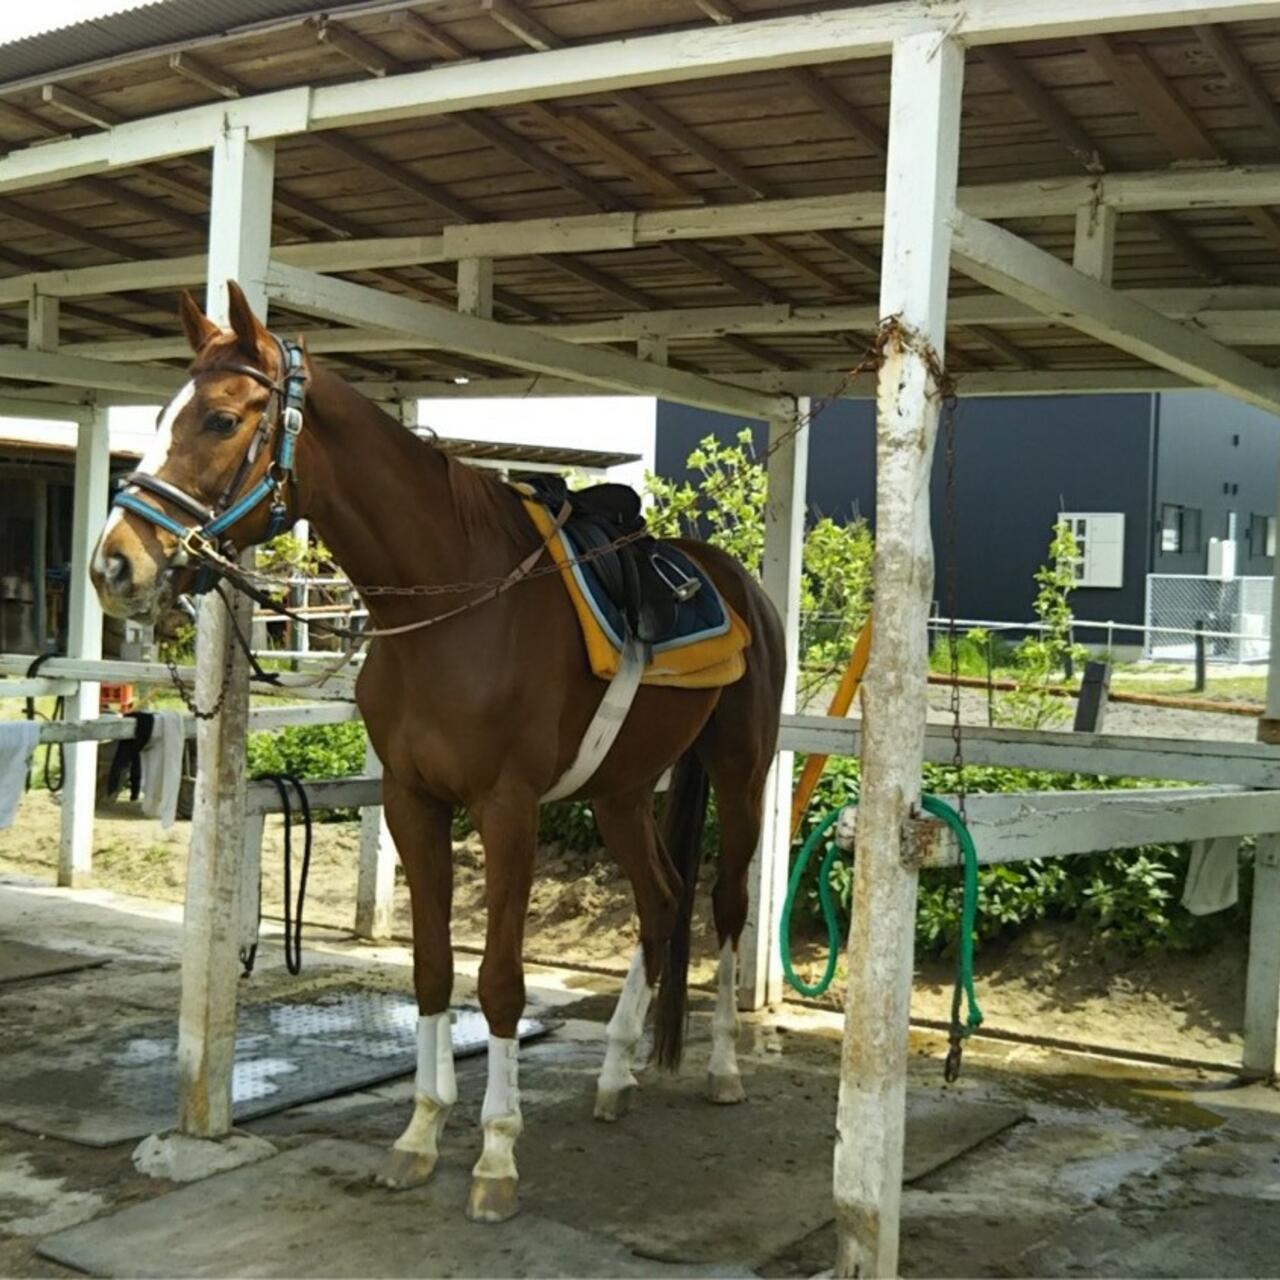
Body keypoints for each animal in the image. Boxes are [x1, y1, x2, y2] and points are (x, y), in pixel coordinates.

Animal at [90, 285, 783, 1223]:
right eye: (161, 416)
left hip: (742, 776)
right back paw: (614, 1075)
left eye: (223, 419)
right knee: (662, 901)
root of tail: (732, 578)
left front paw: (495, 1156)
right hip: (621, 792)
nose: (114, 566)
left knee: (725, 906)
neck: (450, 606)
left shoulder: (507, 810)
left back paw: (720, 1069)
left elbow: (499, 983)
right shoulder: (413, 802)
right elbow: (429, 971)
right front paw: (419, 1137)